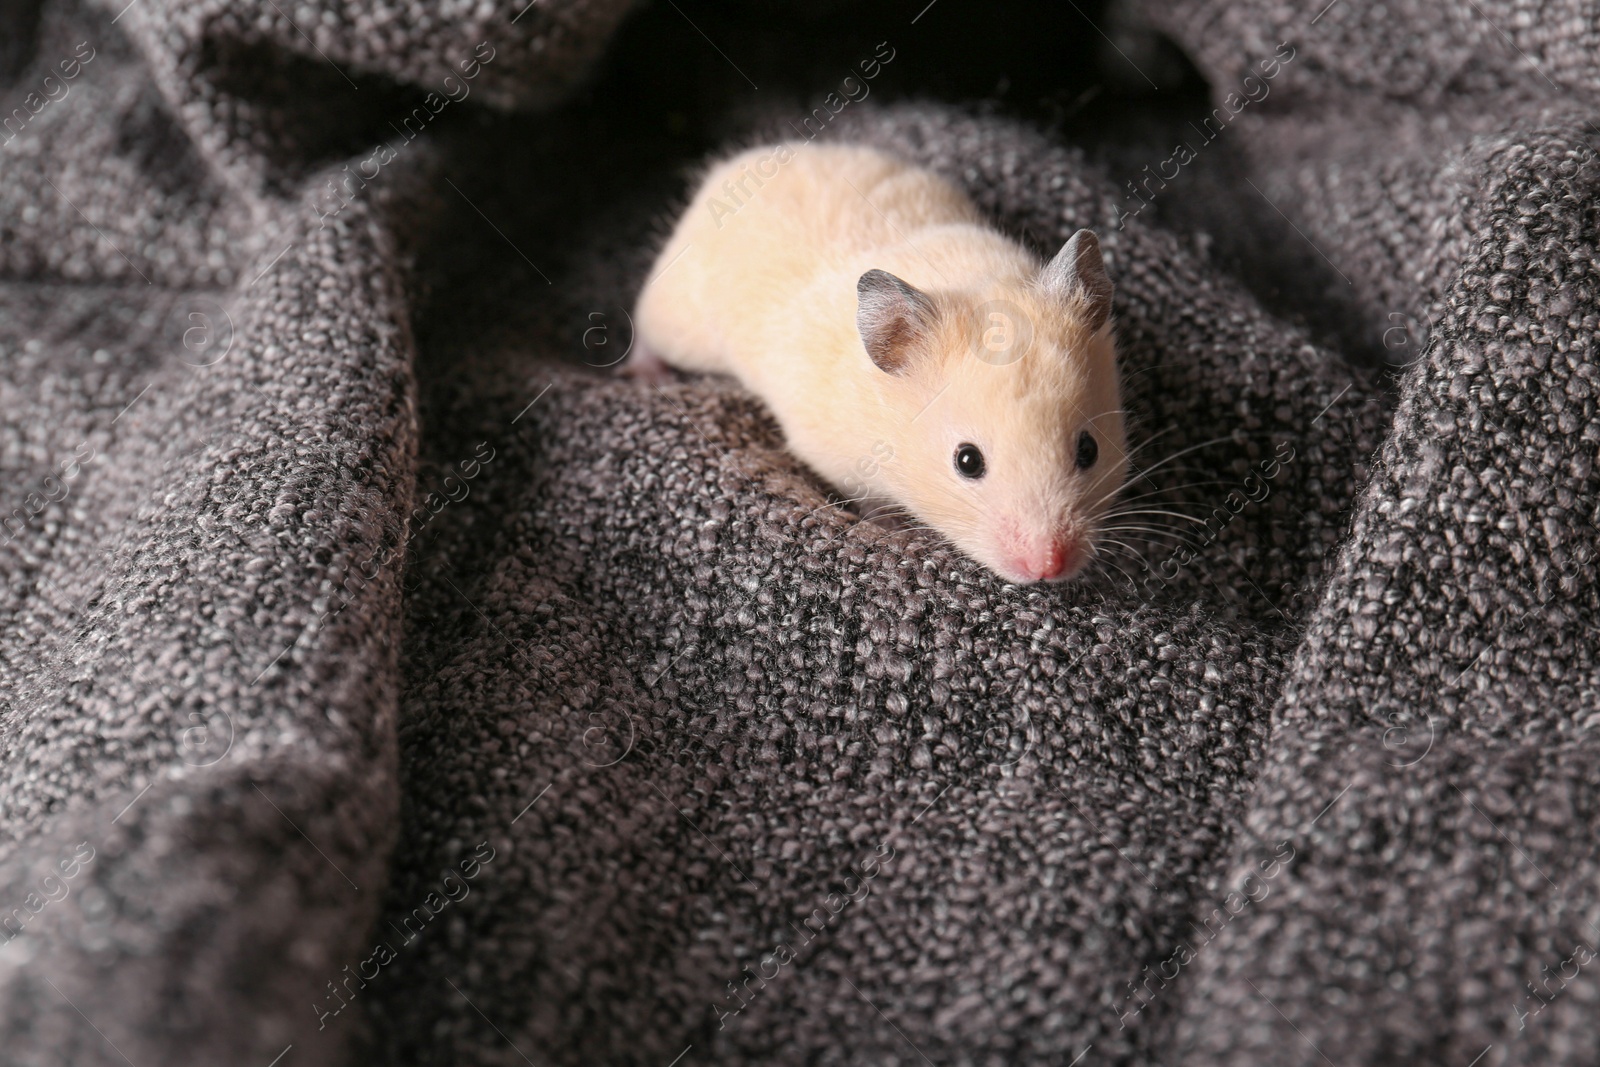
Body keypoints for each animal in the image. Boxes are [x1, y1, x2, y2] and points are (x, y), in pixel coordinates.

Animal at [630, 141, 1132, 585]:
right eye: (967, 461)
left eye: (1089, 449)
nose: (1049, 567)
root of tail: (731, 169)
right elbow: (866, 496)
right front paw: (891, 525)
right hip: (677, 317)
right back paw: (645, 373)